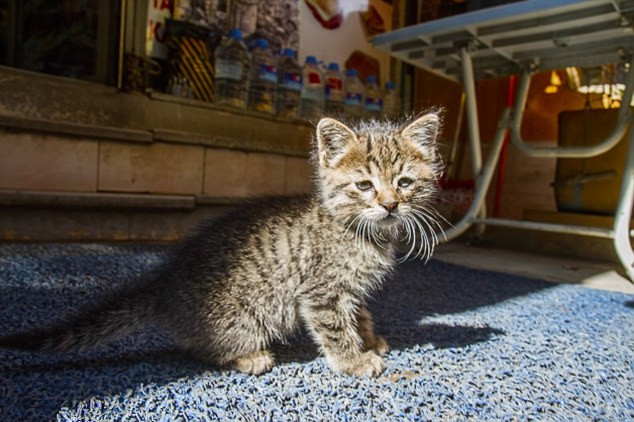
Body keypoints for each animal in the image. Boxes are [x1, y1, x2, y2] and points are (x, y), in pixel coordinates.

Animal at [0, 113, 442, 376]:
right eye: (364, 185)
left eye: (404, 182)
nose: (389, 204)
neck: (359, 232)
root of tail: (165, 285)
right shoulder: (322, 291)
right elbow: (334, 328)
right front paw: (354, 360)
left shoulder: (351, 290)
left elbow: (359, 314)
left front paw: (370, 339)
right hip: (243, 316)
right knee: (201, 349)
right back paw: (249, 357)